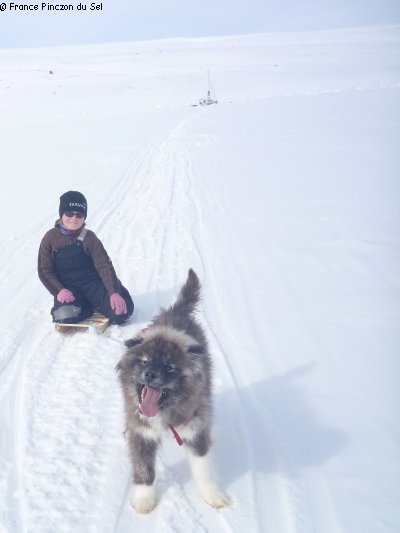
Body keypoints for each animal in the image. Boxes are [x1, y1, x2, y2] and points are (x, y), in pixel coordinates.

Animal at [115, 270, 228, 512]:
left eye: (169, 367)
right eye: (145, 362)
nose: (150, 374)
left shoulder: (196, 428)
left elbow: (203, 469)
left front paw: (213, 495)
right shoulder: (143, 433)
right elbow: (144, 470)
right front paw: (144, 501)